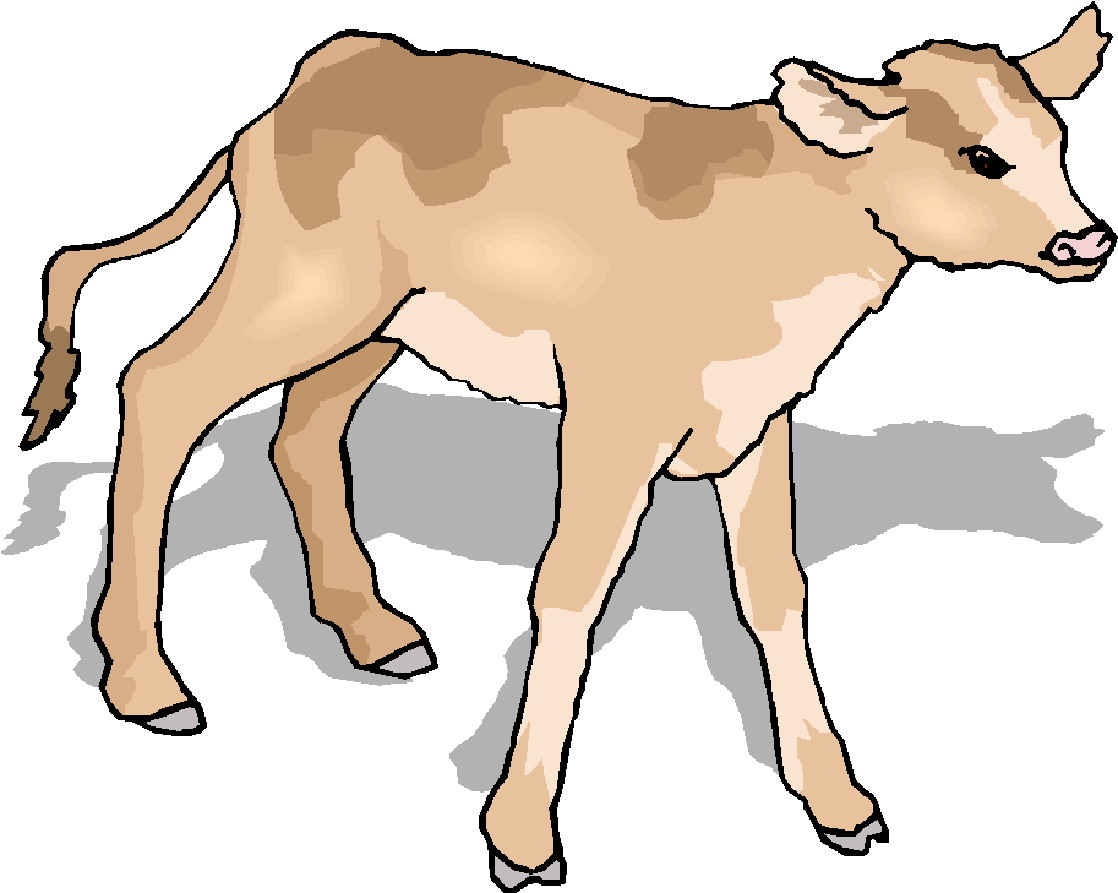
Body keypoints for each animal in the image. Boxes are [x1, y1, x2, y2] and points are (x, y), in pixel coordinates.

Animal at [20, 6, 1111, 890]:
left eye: (1057, 140)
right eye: (978, 157)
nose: (1087, 240)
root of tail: (327, 67)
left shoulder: (756, 421)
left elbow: (775, 591)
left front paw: (839, 801)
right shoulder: (610, 414)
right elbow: (570, 591)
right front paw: (521, 833)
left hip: (370, 322)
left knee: (303, 432)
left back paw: (372, 628)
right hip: (301, 288)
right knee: (161, 388)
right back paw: (146, 681)